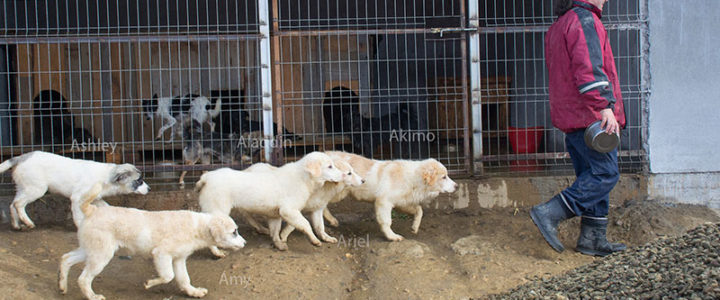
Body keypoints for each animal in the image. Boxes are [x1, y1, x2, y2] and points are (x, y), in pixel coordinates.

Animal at [0, 151, 150, 229]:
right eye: (139, 180)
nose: (149, 188)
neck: (107, 177)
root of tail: (21, 157)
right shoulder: (77, 199)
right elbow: (78, 216)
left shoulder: (97, 199)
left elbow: (108, 208)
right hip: (36, 189)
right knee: (18, 204)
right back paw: (28, 223)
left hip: (24, 188)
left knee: (12, 204)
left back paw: (16, 225)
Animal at [59, 182, 245, 298]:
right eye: (234, 232)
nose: (245, 243)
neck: (197, 226)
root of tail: (91, 210)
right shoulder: (161, 254)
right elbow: (168, 276)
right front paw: (150, 283)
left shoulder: (179, 259)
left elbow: (184, 279)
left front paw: (193, 292)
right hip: (101, 255)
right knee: (83, 279)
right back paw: (93, 296)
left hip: (90, 250)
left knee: (66, 258)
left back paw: (62, 286)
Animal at [195, 150, 344, 253]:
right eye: (329, 166)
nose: (343, 175)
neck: (303, 178)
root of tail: (206, 177)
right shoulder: (288, 210)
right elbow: (306, 224)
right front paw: (315, 241)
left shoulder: (275, 215)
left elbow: (276, 231)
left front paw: (279, 244)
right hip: (218, 211)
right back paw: (218, 253)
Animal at [324, 151, 456, 240]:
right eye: (444, 177)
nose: (457, 186)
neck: (413, 178)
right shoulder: (384, 202)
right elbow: (387, 221)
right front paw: (392, 236)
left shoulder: (402, 202)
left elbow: (419, 210)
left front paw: (415, 227)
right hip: (338, 192)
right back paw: (332, 220)